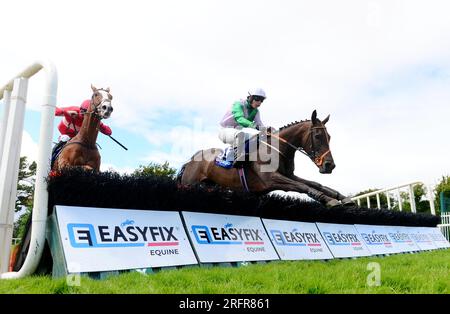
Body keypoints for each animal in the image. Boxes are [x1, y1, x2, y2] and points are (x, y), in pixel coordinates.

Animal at [178, 109, 354, 207]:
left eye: (329, 137)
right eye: (317, 136)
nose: (329, 165)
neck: (277, 149)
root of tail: (190, 161)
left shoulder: (288, 175)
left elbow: (315, 184)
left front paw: (343, 198)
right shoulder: (271, 179)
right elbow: (302, 186)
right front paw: (328, 200)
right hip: (190, 183)